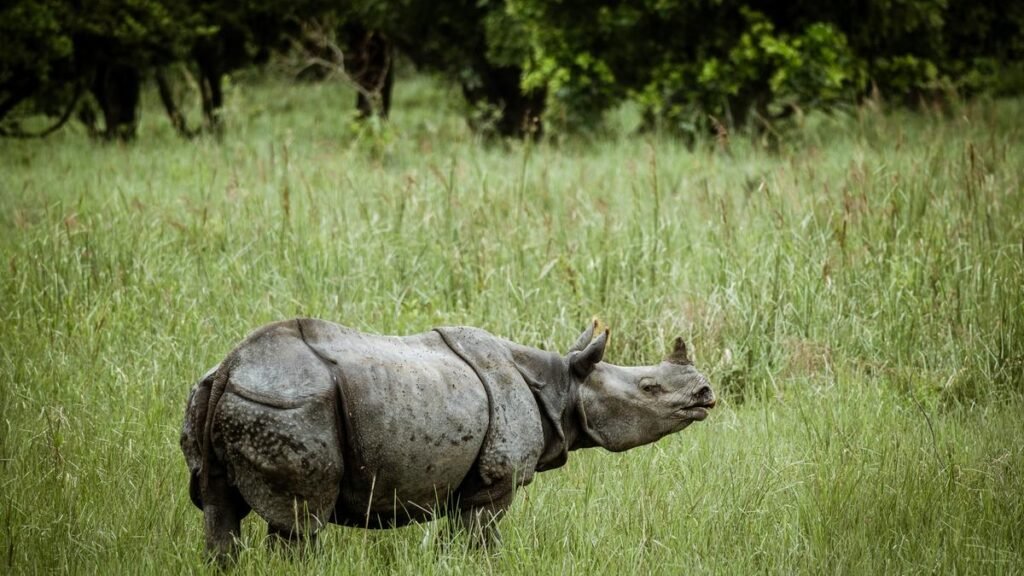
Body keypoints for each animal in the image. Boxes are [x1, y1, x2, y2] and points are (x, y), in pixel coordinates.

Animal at [180, 318, 715, 561]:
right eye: (649, 388)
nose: (706, 393)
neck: (564, 384)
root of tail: (232, 367)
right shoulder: (494, 483)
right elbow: (480, 541)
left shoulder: (466, 485)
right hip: (289, 405)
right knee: (300, 523)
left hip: (217, 396)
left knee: (218, 510)